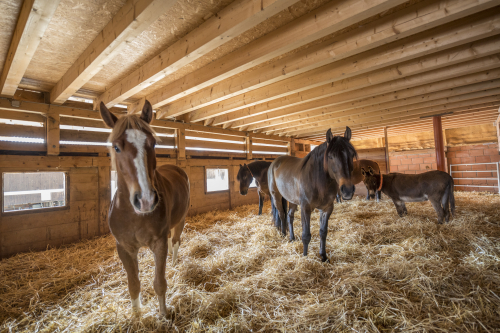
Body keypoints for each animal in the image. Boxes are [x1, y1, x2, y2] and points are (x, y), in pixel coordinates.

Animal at [99, 100, 189, 316]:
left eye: (153, 143)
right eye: (116, 147)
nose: (146, 200)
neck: (134, 216)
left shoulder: (159, 243)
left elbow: (160, 283)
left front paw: (164, 315)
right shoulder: (124, 248)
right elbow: (133, 285)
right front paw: (137, 316)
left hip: (180, 221)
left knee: (176, 242)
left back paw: (174, 264)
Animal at [268, 127, 358, 262]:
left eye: (351, 154)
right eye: (330, 156)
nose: (347, 190)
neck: (317, 180)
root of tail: (275, 162)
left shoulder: (327, 209)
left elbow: (323, 232)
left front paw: (323, 256)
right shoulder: (305, 208)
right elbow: (306, 235)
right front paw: (305, 258)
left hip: (292, 200)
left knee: (289, 216)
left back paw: (292, 238)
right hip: (276, 196)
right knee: (281, 214)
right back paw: (283, 234)